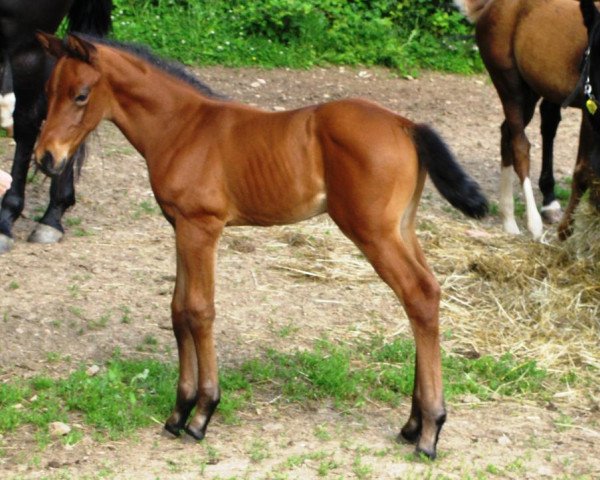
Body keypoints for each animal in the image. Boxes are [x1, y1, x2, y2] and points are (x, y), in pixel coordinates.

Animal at [32, 31, 488, 460]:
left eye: (81, 94)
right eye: (48, 91)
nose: (45, 158)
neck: (182, 127)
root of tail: (405, 125)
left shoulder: (201, 227)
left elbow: (199, 311)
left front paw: (202, 413)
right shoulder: (180, 227)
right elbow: (178, 311)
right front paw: (178, 411)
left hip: (373, 232)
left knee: (419, 294)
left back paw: (429, 432)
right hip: (401, 228)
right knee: (426, 296)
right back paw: (413, 424)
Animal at [458, 0, 592, 239]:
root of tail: (490, 6)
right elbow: (584, 170)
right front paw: (565, 231)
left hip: (532, 91)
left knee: (507, 134)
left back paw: (509, 219)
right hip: (510, 86)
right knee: (520, 145)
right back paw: (533, 223)